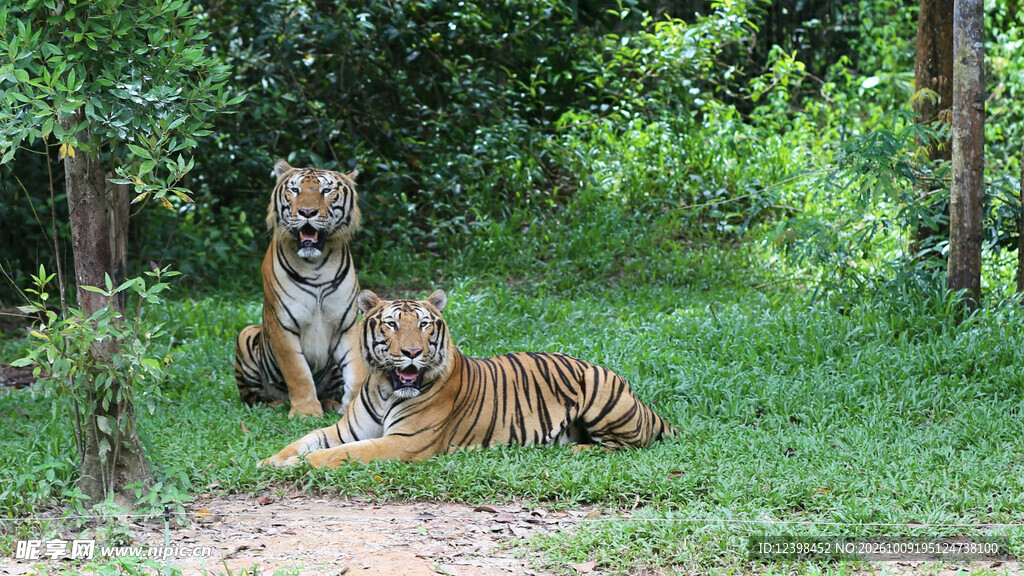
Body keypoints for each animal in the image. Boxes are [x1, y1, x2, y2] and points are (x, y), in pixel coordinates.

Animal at [235, 159, 367, 417]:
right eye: (295, 190)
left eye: (326, 190)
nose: (307, 212)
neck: (316, 265)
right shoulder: (283, 325)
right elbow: (298, 373)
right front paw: (306, 413)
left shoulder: (347, 325)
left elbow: (356, 371)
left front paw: (354, 408)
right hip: (245, 335)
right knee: (252, 398)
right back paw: (276, 405)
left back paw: (330, 403)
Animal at [260, 289, 675, 467]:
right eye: (391, 324)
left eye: (424, 325)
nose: (412, 352)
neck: (385, 388)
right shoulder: (346, 429)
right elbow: (305, 441)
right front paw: (270, 461)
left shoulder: (403, 443)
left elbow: (338, 455)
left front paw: (296, 467)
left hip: (602, 396)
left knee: (630, 445)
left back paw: (577, 450)